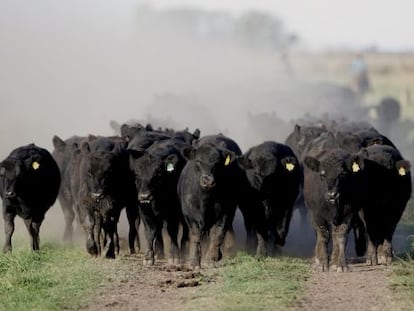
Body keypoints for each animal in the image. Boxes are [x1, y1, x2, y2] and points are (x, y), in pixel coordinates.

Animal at [178, 134, 243, 268]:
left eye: (217, 163)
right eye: (198, 161)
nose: (208, 181)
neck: (205, 200)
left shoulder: (224, 213)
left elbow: (217, 234)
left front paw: (210, 259)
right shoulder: (190, 215)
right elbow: (195, 236)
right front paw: (194, 261)